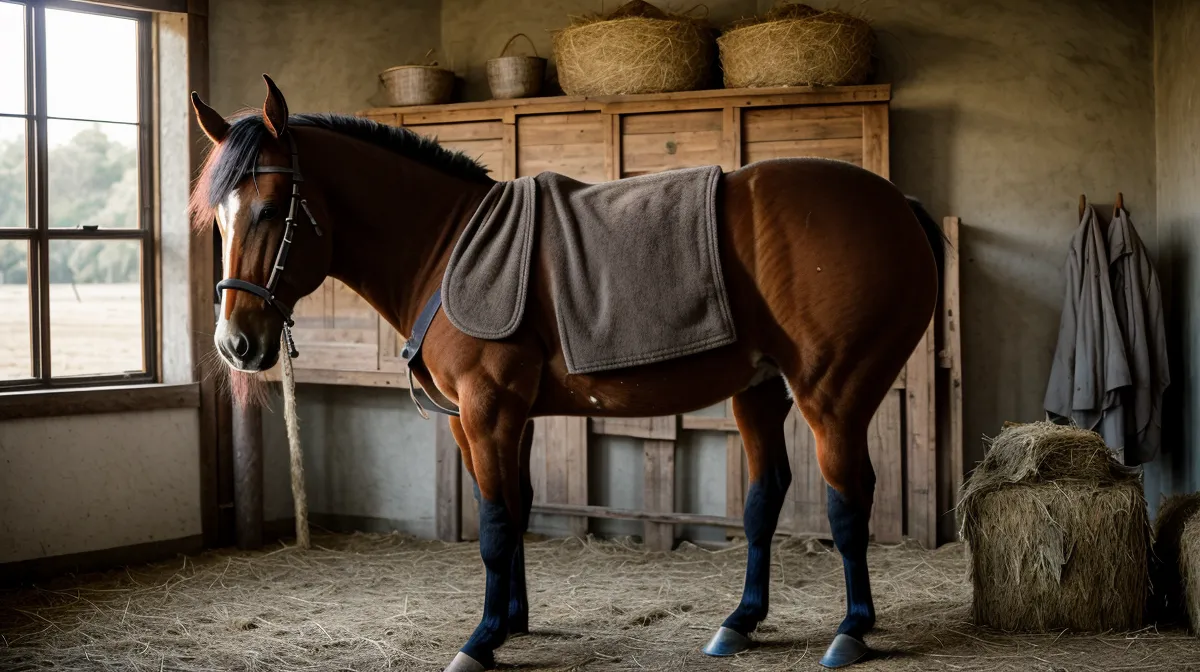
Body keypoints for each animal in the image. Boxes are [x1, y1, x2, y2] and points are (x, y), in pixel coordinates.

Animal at [190, 76, 942, 671]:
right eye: (218, 217)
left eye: (269, 209)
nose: (237, 344)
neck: (450, 249)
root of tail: (897, 205)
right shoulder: (492, 419)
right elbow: (513, 509)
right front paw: (510, 621)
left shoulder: (488, 410)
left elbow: (495, 524)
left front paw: (482, 639)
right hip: (760, 391)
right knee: (766, 498)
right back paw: (741, 623)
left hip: (832, 394)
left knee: (848, 501)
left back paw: (852, 630)